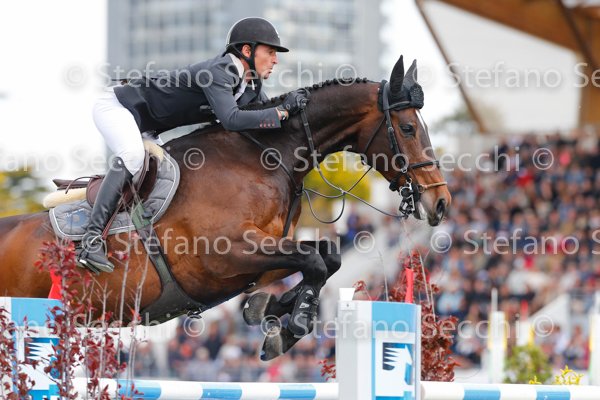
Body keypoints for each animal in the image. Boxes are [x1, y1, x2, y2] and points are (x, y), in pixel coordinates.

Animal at [0, 55, 450, 360]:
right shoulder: (224, 256)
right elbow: (315, 261)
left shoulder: (257, 259)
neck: (264, 158)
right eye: (408, 128)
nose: (441, 202)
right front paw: (291, 323)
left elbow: (327, 258)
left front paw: (271, 312)